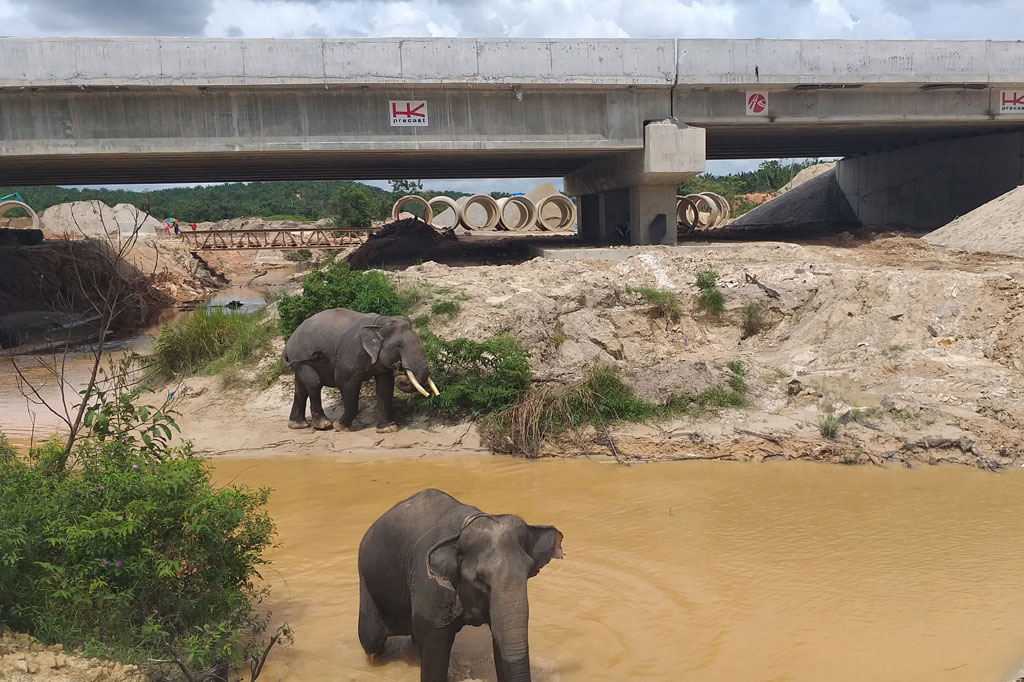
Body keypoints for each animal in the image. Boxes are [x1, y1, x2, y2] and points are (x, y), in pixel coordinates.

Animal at [282, 307, 438, 430]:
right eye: (399, 345)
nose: (402, 372)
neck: (378, 322)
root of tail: (288, 344)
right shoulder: (350, 354)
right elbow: (346, 383)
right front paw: (340, 426)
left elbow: (385, 384)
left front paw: (388, 428)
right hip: (302, 357)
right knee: (314, 384)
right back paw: (323, 425)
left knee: (301, 388)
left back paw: (298, 425)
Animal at [358, 485, 565, 679]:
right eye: (481, 579)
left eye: (529, 572)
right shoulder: (429, 585)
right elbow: (435, 647)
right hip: (368, 580)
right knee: (371, 639)